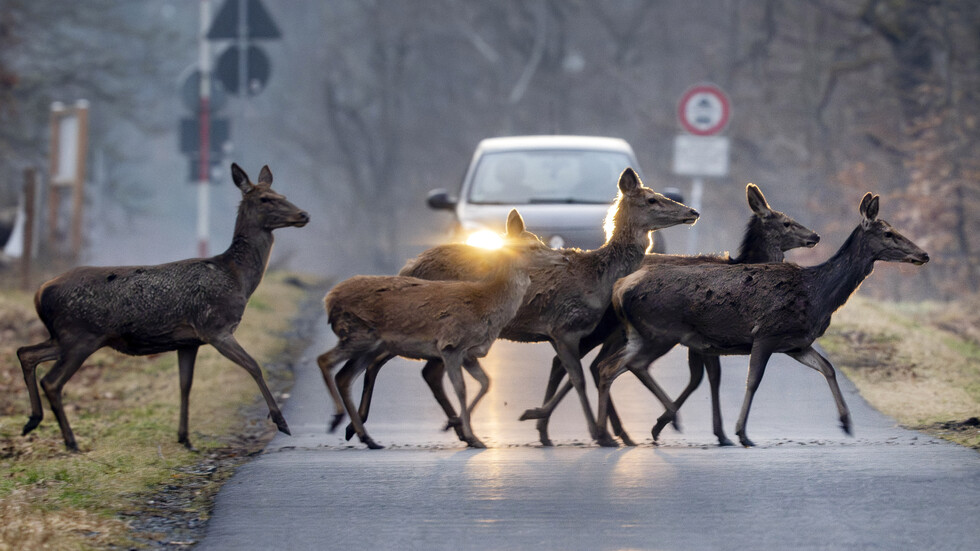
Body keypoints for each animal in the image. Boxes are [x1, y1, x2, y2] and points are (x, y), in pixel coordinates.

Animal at [17, 164, 308, 452]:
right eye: (266, 199)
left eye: (282, 195)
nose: (303, 214)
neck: (238, 278)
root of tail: (40, 292)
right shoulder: (215, 327)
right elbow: (253, 365)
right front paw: (281, 422)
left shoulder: (189, 341)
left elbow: (185, 384)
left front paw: (185, 438)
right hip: (81, 336)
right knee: (51, 381)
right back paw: (71, 442)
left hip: (65, 337)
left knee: (25, 353)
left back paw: (33, 420)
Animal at [314, 209, 560, 450]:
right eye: (533, 246)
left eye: (537, 239)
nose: (560, 256)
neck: (485, 304)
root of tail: (328, 300)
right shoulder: (451, 345)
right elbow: (461, 388)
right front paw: (471, 435)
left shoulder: (470, 353)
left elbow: (485, 382)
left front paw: (460, 426)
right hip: (357, 334)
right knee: (325, 360)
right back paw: (339, 420)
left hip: (369, 344)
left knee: (345, 375)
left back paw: (365, 436)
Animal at [338, 166, 704, 446]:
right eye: (651, 199)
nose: (692, 212)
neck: (597, 277)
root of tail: (408, 266)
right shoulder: (563, 326)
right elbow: (578, 377)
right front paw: (595, 433)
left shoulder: (569, 334)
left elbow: (571, 375)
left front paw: (544, 421)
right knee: (387, 363)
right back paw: (362, 427)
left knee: (420, 370)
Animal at [520, 183, 820, 446]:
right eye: (786, 222)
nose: (815, 236)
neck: (744, 264)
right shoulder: (704, 336)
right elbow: (708, 377)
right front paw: (707, 430)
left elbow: (701, 377)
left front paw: (679, 424)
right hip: (603, 327)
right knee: (576, 364)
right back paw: (556, 424)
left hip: (616, 332)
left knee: (586, 365)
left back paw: (563, 427)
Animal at [596, 194, 928, 448]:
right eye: (888, 233)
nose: (923, 254)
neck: (818, 294)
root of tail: (621, 287)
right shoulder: (766, 334)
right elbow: (753, 380)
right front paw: (741, 432)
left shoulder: (796, 344)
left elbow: (828, 368)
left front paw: (846, 422)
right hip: (661, 332)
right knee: (631, 365)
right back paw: (659, 423)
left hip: (641, 334)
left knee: (609, 368)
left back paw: (618, 432)